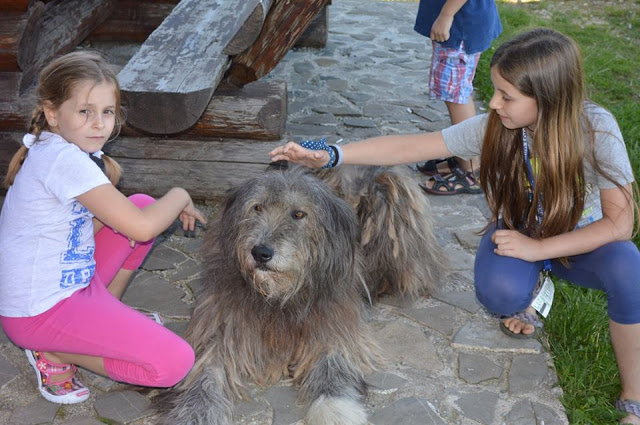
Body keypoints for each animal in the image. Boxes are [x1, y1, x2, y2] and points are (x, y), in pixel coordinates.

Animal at [159, 164, 444, 424]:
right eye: (257, 207)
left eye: (298, 214)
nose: (261, 253)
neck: (280, 297)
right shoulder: (220, 332)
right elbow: (202, 379)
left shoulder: (333, 331)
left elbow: (333, 372)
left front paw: (336, 413)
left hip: (392, 197)